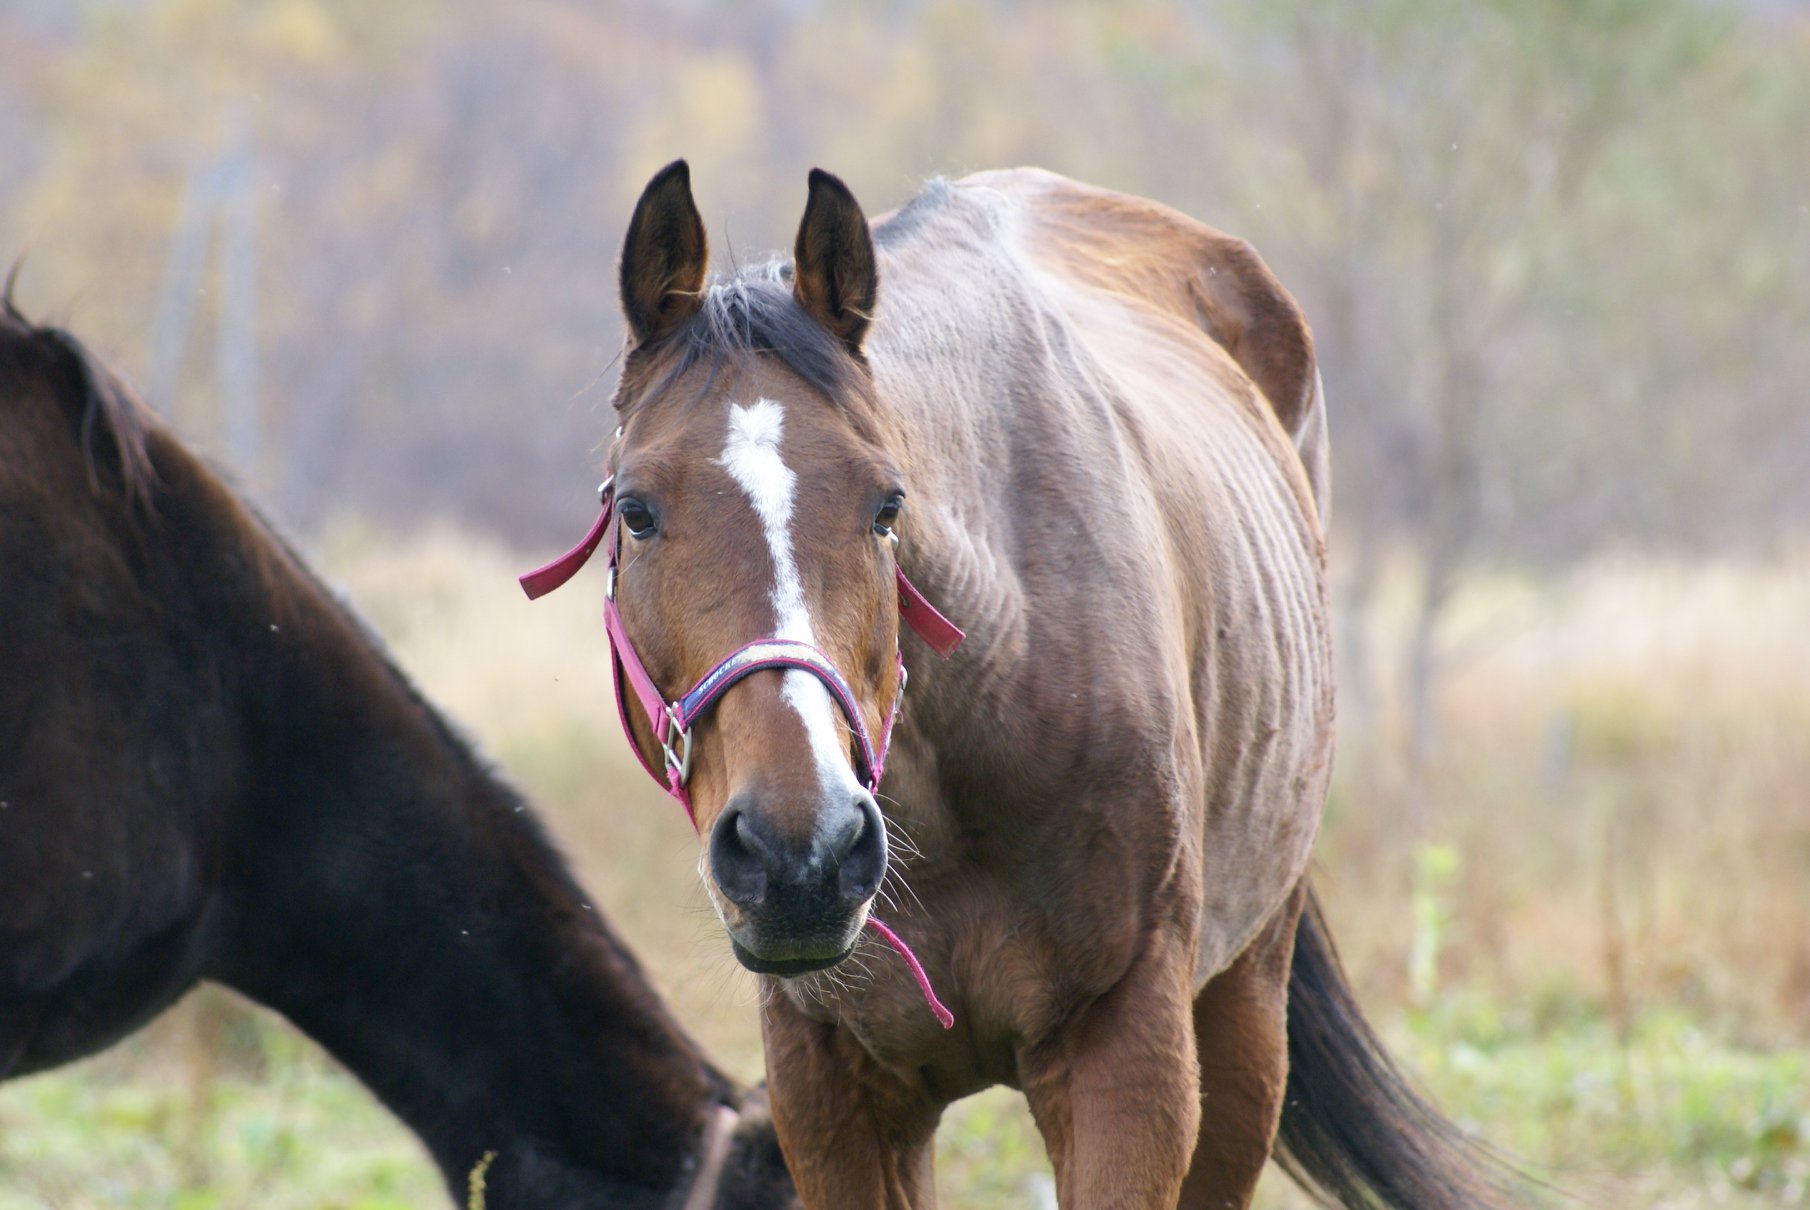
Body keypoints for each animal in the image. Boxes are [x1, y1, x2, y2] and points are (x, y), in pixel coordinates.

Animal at [535, 160, 1527, 1208]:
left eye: (886, 506)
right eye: (636, 511)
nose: (801, 849)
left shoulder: (1126, 1061)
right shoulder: (831, 1088)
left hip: (1245, 1011)